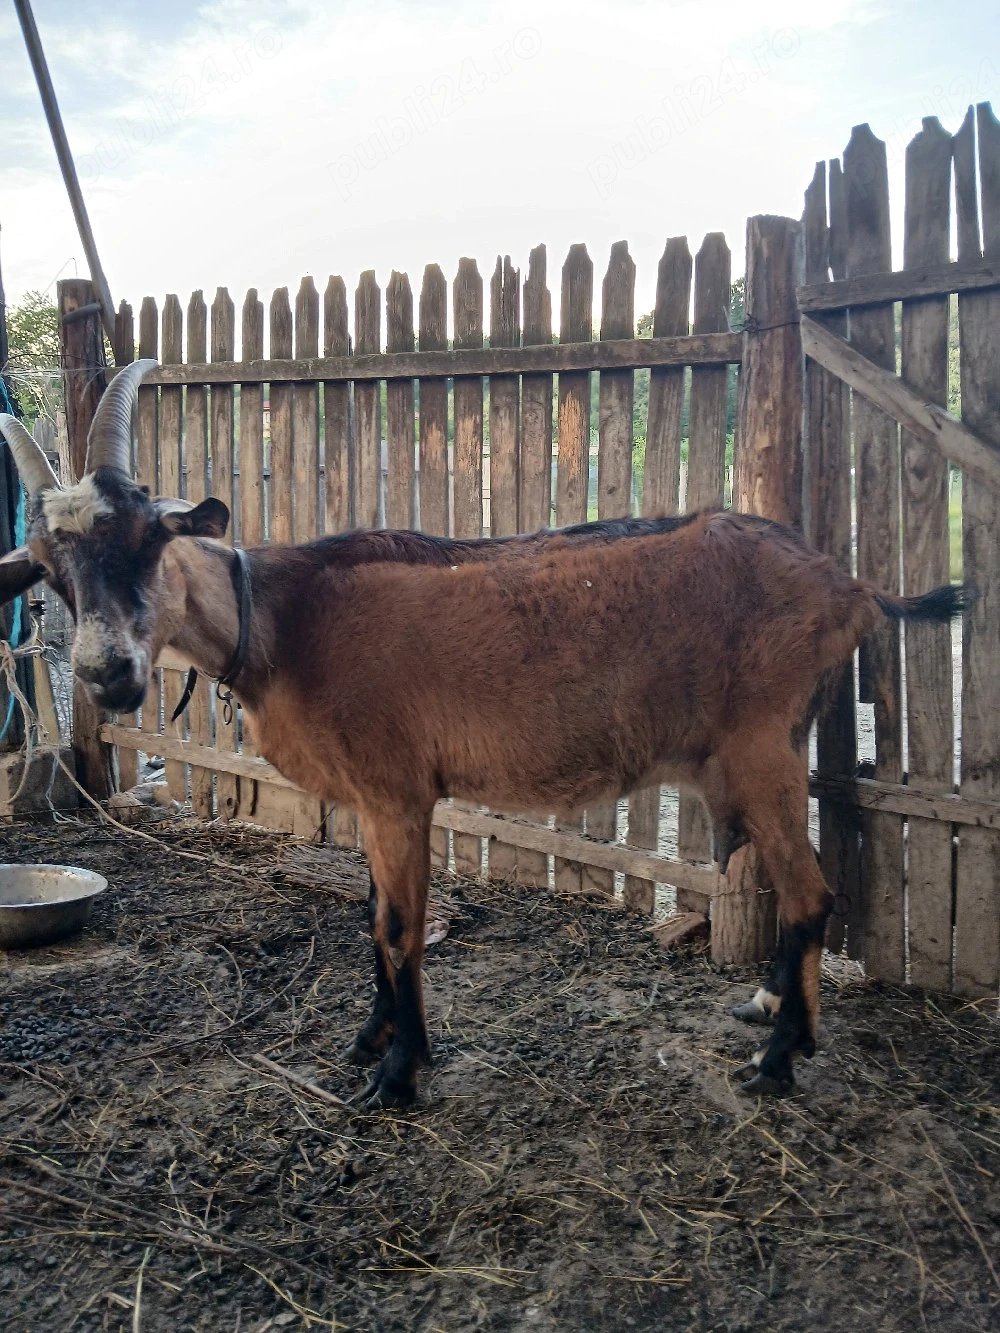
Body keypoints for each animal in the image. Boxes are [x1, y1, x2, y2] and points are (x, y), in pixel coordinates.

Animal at [0, 361, 970, 1107]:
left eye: (147, 536)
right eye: (47, 569)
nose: (106, 673)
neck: (282, 619)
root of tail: (851, 586)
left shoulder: (397, 789)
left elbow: (399, 924)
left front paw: (398, 1073)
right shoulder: (373, 798)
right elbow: (371, 917)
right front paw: (373, 1036)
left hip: (762, 743)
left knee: (812, 894)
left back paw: (775, 1062)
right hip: (767, 747)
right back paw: (773, 1015)